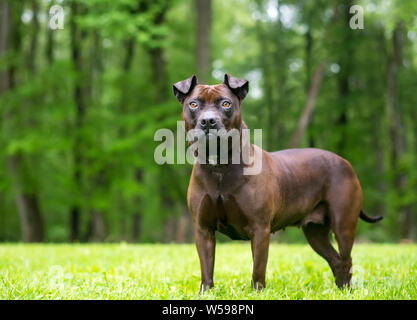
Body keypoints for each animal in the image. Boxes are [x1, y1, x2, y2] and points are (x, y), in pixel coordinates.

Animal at [171, 73, 380, 292]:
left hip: (343, 225)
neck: (219, 166)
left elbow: (258, 269)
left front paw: (257, 292)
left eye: (226, 103)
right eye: (193, 104)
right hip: (316, 234)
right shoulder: (203, 230)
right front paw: (206, 292)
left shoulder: (260, 229)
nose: (208, 121)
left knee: (346, 259)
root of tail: (344, 162)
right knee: (336, 260)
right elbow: (207, 268)